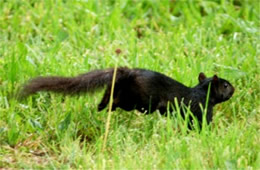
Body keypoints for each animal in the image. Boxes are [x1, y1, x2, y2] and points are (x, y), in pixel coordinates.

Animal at [19, 68, 234, 126]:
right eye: (225, 85)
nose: (234, 89)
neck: (202, 92)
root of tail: (129, 72)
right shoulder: (202, 109)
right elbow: (202, 124)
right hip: (141, 101)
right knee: (121, 102)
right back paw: (107, 107)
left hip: (119, 87)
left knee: (109, 95)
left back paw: (102, 106)